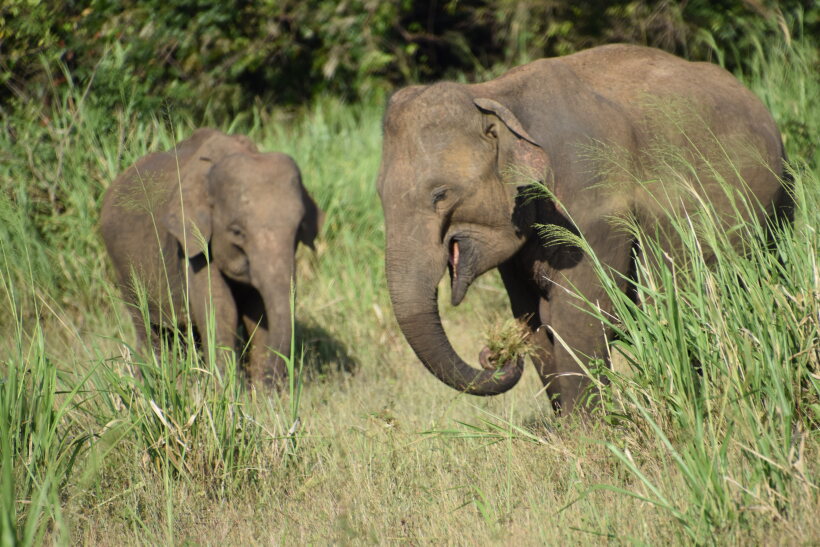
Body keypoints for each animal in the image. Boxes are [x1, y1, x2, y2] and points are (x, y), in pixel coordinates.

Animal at [100, 128, 322, 385]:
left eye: (299, 229)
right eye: (237, 232)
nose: (272, 380)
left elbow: (258, 314)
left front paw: (261, 393)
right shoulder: (191, 244)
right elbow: (220, 310)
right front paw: (227, 390)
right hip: (124, 270)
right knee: (148, 329)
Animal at [377, 44, 791, 413]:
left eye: (441, 194)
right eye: (380, 194)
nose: (495, 354)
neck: (494, 94)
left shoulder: (593, 206)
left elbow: (578, 315)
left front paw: (588, 436)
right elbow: (533, 320)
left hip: (779, 204)